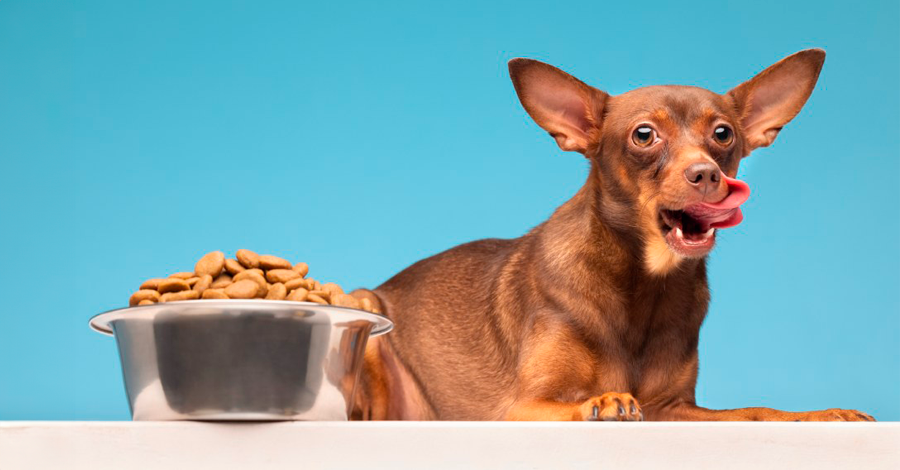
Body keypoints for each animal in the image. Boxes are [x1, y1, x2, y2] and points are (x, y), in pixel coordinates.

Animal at [350, 48, 872, 422]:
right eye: (644, 135)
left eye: (723, 134)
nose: (706, 174)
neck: (644, 284)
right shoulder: (524, 407)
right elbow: (581, 402)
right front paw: (601, 402)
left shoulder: (672, 410)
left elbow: (754, 412)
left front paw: (823, 414)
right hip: (365, 308)